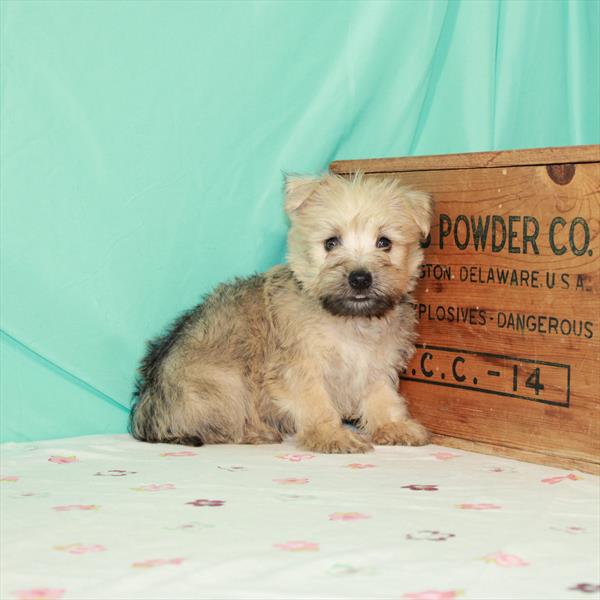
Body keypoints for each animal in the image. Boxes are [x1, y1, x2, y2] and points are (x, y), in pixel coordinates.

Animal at [130, 171, 432, 452]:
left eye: (384, 242)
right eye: (331, 243)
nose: (360, 278)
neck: (350, 320)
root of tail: (146, 412)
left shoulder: (376, 365)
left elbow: (383, 398)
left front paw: (393, 426)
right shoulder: (301, 368)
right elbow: (317, 404)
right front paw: (330, 435)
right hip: (224, 384)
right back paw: (256, 432)